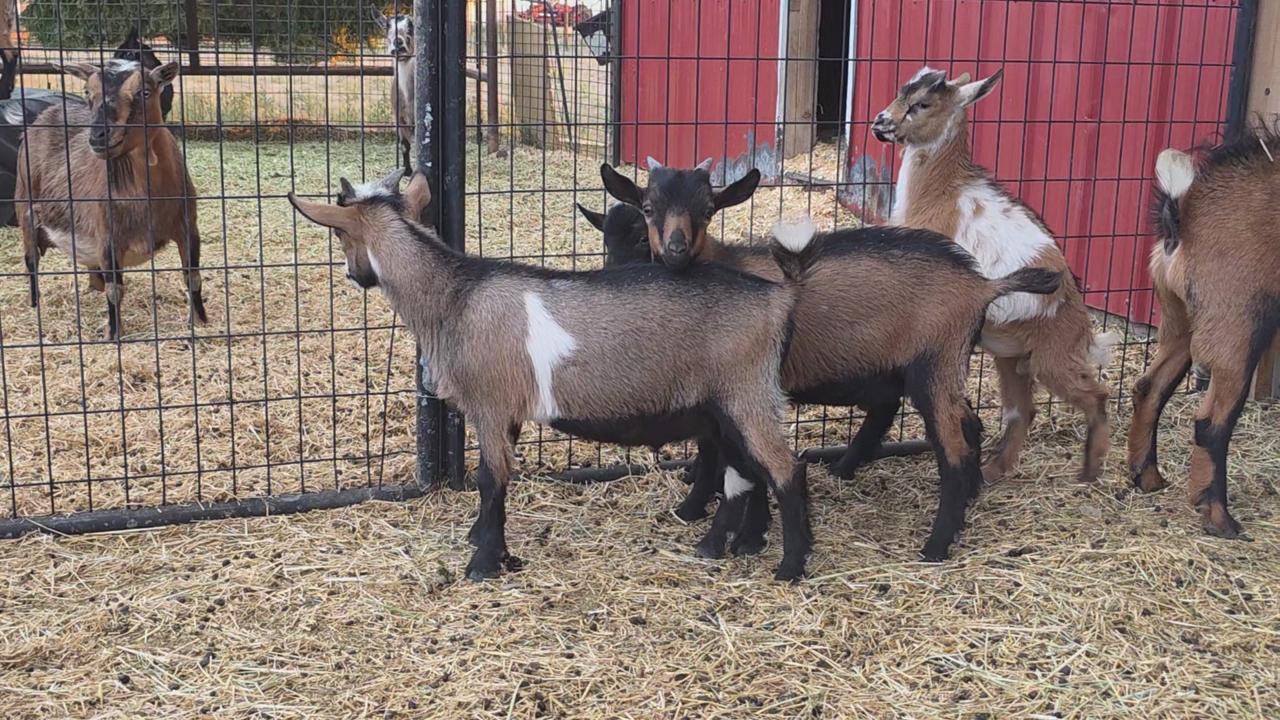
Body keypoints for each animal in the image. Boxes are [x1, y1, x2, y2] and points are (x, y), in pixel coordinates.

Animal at [16, 59, 206, 340]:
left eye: (144, 92)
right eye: (87, 91)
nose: (98, 136)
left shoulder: (188, 227)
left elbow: (193, 278)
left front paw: (201, 321)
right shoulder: (108, 237)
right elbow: (115, 291)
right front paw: (113, 334)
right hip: (25, 208)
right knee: (31, 260)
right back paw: (34, 303)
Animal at [288, 168, 817, 582]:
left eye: (340, 235)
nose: (354, 274)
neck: (455, 297)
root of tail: (778, 296)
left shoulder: (490, 403)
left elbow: (491, 479)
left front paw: (483, 564)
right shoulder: (508, 414)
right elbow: (497, 480)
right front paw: (484, 540)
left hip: (747, 394)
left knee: (786, 469)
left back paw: (789, 567)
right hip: (725, 407)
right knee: (745, 472)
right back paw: (718, 546)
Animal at [595, 160, 1064, 560]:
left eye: (709, 210)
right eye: (649, 208)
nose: (675, 250)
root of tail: (983, 285)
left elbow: (737, 461)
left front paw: (735, 531)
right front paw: (725, 521)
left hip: (934, 364)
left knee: (954, 450)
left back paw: (936, 544)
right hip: (939, 368)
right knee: (967, 422)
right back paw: (967, 498)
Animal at [872, 67, 1118, 485]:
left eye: (922, 103)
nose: (880, 122)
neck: (939, 194)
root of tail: (1080, 322)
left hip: (1052, 357)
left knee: (1096, 396)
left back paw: (1090, 471)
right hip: (1011, 354)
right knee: (1023, 409)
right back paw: (993, 470)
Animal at [1129, 128, 1280, 539]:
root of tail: (1180, 216)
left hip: (1181, 321)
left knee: (1150, 387)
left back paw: (1147, 477)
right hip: (1237, 325)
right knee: (1212, 422)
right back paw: (1217, 516)